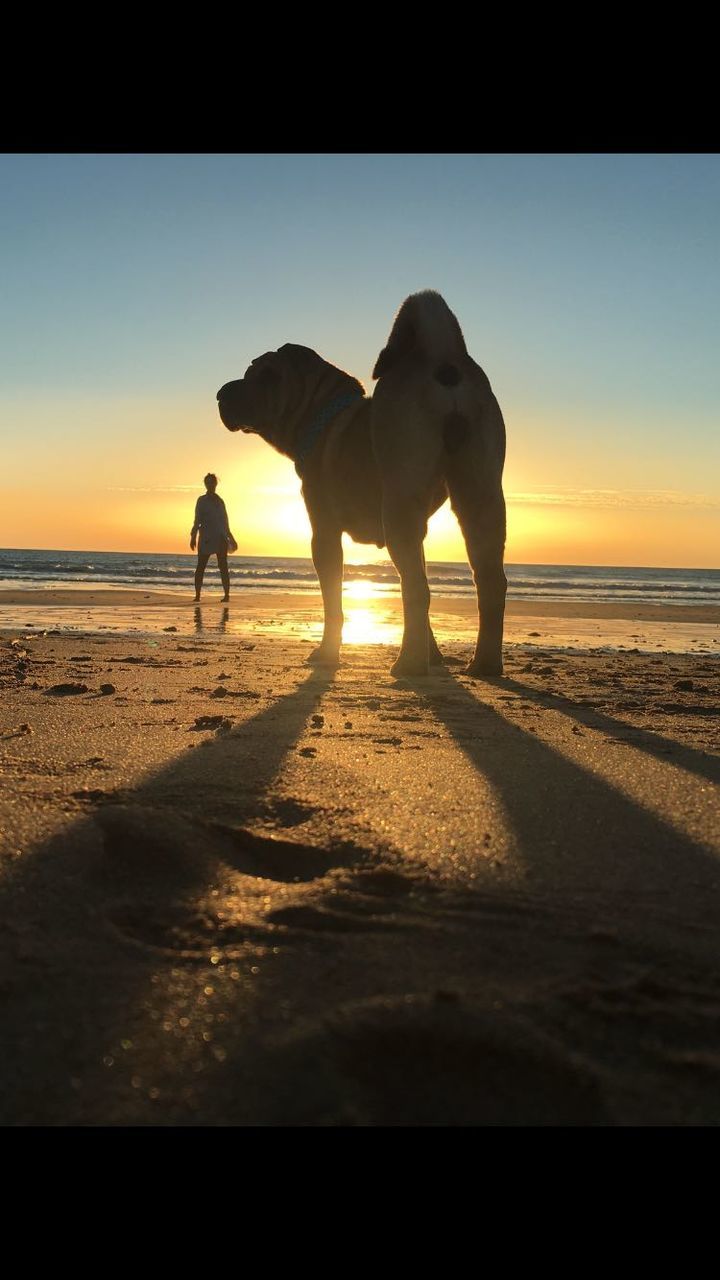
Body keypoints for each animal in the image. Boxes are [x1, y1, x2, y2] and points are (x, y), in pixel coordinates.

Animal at [217, 285, 504, 675]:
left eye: (264, 375)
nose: (221, 394)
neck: (320, 414)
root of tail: (442, 358)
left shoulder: (324, 531)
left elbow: (334, 602)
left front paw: (326, 653)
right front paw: (434, 655)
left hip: (401, 502)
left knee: (417, 588)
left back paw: (409, 663)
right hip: (480, 493)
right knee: (488, 582)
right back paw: (483, 663)